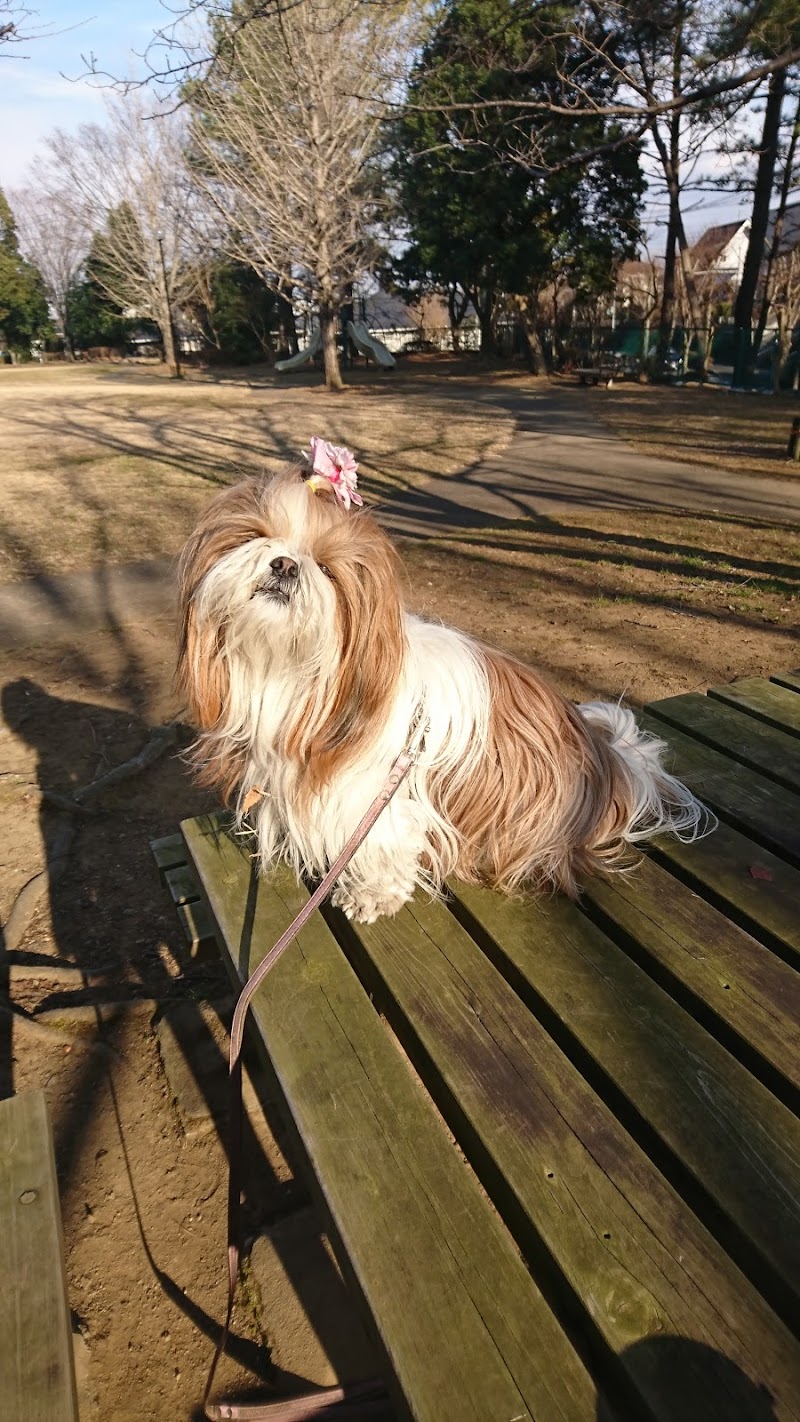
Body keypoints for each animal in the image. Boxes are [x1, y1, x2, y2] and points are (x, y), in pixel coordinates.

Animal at [178, 440, 710, 921]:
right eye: (256, 536)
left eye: (327, 569)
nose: (285, 564)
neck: (291, 672)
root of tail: (611, 765)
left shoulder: (374, 797)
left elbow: (383, 842)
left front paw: (370, 895)